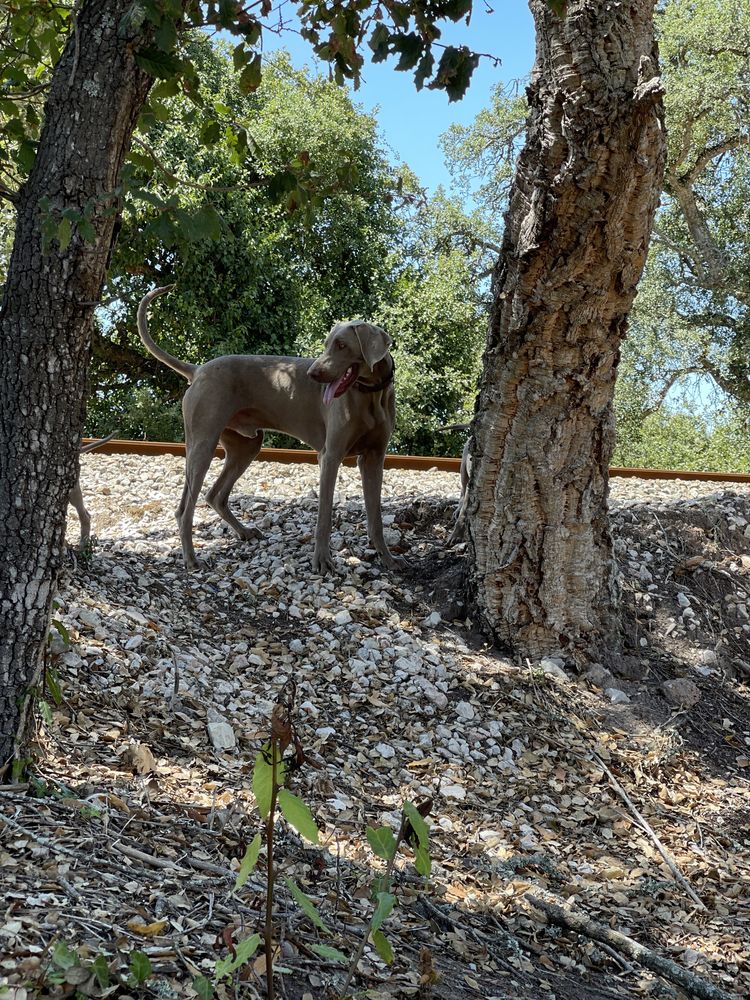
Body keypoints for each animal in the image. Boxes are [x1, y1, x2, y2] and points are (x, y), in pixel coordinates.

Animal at [139, 286, 402, 576]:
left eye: (342, 345)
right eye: (327, 344)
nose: (312, 374)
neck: (371, 394)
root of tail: (198, 370)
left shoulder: (374, 458)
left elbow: (375, 516)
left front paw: (388, 558)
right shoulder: (330, 456)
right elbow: (324, 515)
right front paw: (321, 561)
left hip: (246, 445)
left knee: (213, 495)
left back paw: (244, 532)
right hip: (203, 443)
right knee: (186, 508)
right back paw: (192, 559)